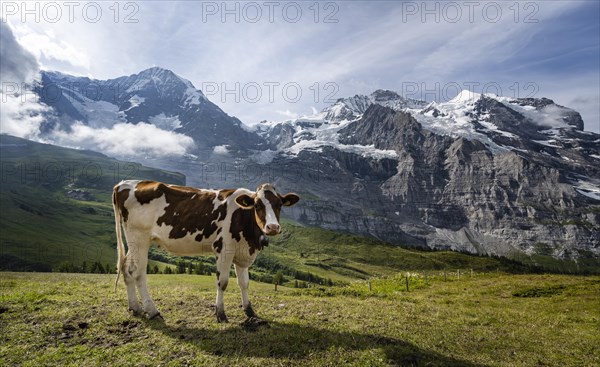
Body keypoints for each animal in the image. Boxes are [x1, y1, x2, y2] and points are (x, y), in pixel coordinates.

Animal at [112, 180, 300, 322]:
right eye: (257, 205)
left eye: (279, 204)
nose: (273, 227)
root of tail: (124, 184)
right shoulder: (224, 249)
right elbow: (222, 283)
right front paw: (220, 313)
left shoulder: (241, 252)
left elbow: (244, 283)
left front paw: (249, 311)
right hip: (140, 238)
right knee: (138, 273)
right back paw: (152, 311)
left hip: (133, 243)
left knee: (127, 269)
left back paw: (135, 307)